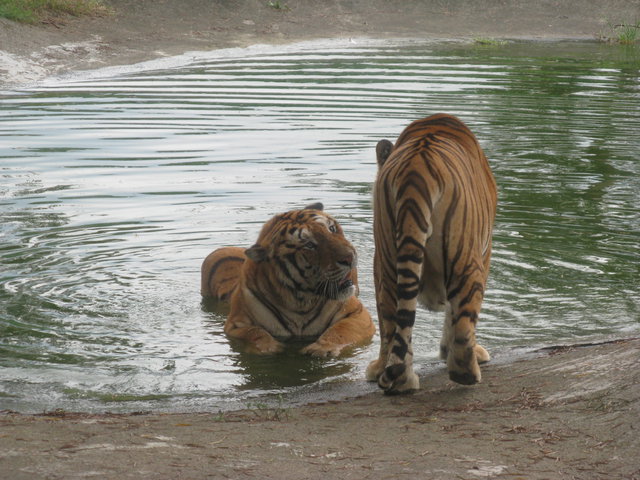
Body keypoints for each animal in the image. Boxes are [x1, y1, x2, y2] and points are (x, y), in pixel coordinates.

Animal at [200, 202, 376, 356]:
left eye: (331, 229)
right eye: (309, 245)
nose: (350, 257)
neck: (301, 301)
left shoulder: (357, 313)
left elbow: (342, 330)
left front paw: (322, 348)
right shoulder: (234, 325)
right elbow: (254, 332)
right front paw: (269, 347)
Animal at [364, 112, 496, 394]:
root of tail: (416, 168)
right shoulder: (485, 251)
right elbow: (452, 317)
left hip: (388, 262)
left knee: (392, 321)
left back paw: (398, 380)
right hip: (465, 259)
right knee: (463, 322)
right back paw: (466, 372)